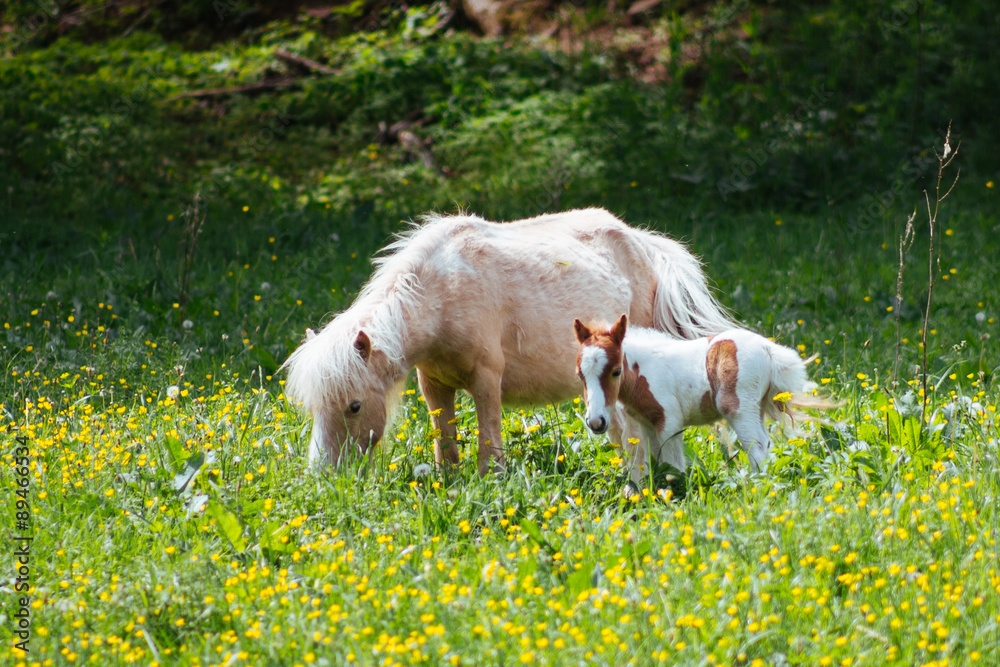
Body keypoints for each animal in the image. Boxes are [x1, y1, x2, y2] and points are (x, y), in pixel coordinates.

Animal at [282, 207, 738, 475]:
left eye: (354, 406)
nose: (324, 477)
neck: (443, 292)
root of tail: (642, 241)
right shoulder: (434, 385)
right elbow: (445, 440)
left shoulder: (486, 380)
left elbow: (489, 441)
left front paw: (491, 482)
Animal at [574, 314, 830, 482]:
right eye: (580, 375)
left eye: (616, 371)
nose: (596, 422)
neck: (643, 371)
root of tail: (769, 351)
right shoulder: (647, 423)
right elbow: (655, 461)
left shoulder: (670, 423)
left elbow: (673, 465)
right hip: (755, 409)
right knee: (765, 444)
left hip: (740, 410)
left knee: (756, 447)